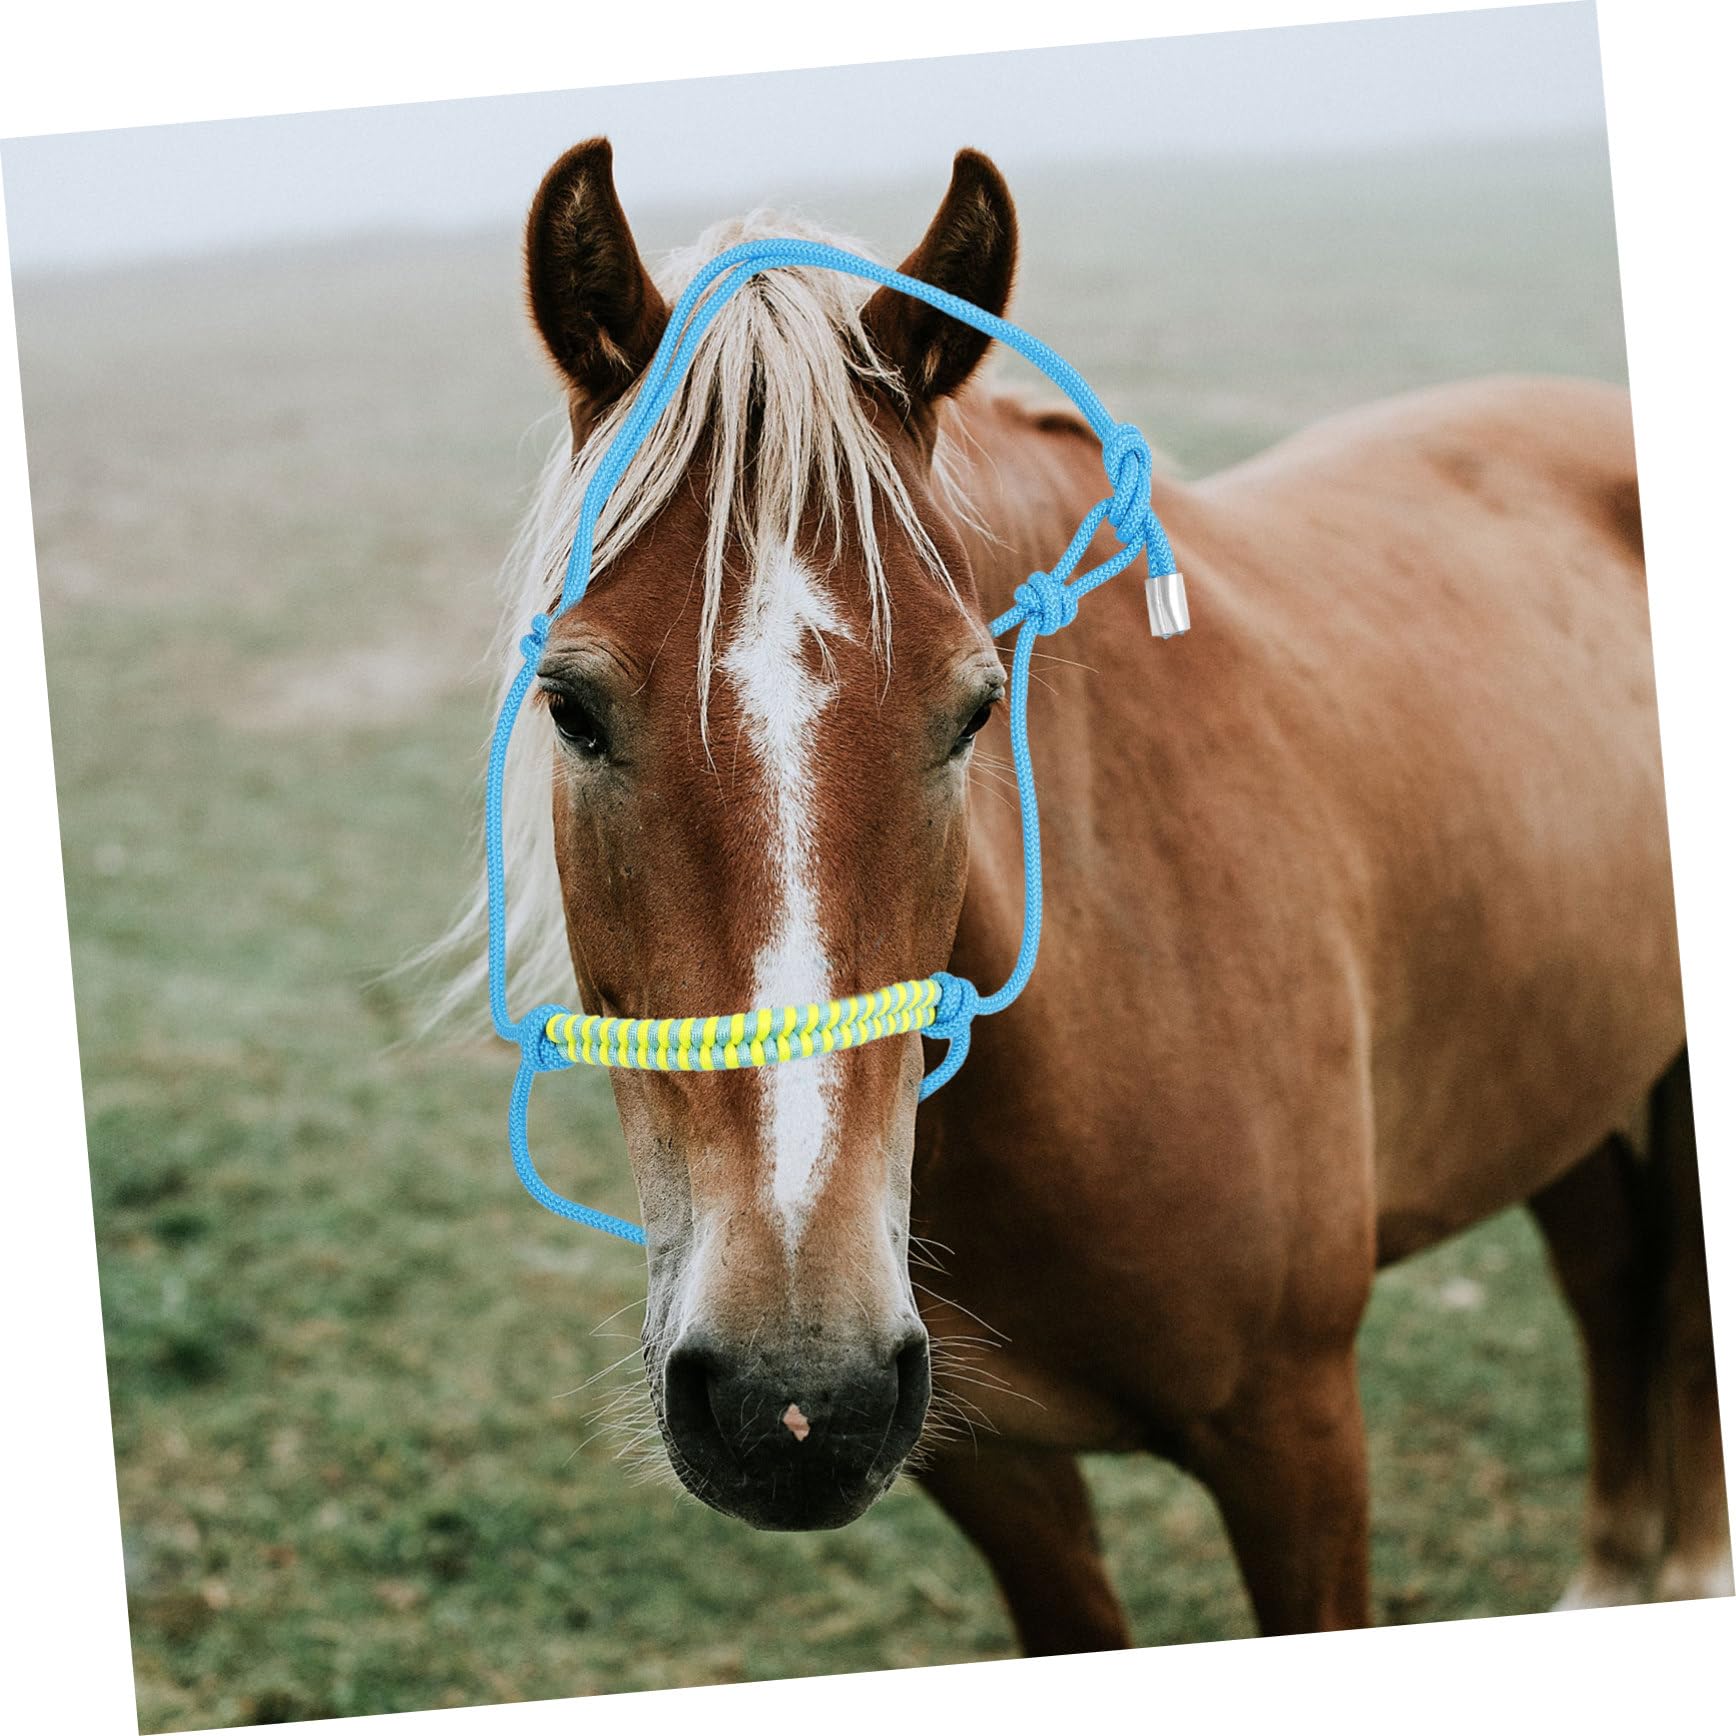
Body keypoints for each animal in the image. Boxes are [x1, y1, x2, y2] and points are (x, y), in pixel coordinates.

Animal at [451, 137, 1728, 1650]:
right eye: (572, 707)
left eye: (972, 709)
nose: (793, 1391)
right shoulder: (993, 1469)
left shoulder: (1298, 1434)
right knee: (1608, 1276)